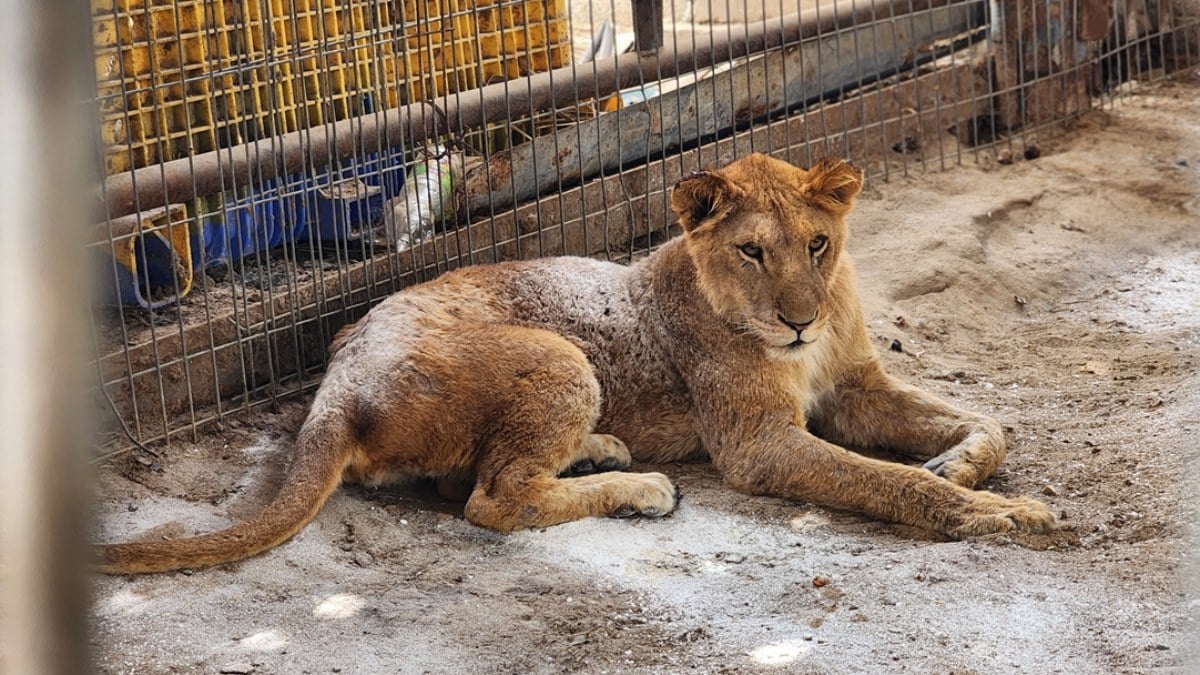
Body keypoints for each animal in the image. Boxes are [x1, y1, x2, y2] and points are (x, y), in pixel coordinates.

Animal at [98, 153, 1056, 571]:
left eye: (818, 244)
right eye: (751, 251)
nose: (797, 319)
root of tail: (333, 388)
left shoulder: (856, 387)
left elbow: (989, 421)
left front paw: (961, 463)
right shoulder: (758, 444)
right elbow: (886, 481)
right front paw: (988, 511)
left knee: (470, 479)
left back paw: (603, 452)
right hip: (560, 354)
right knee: (491, 500)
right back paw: (640, 487)